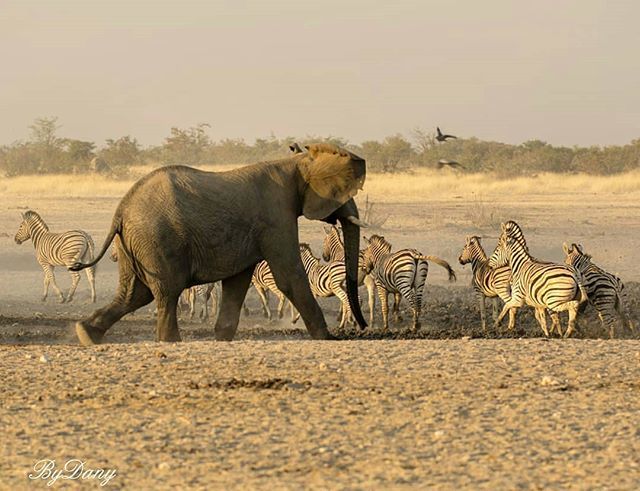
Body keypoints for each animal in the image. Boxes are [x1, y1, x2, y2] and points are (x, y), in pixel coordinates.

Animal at [69, 143, 368, 345]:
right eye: (343, 195)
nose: (361, 329)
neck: (294, 162)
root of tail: (120, 210)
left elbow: (237, 281)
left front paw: (222, 338)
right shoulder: (276, 216)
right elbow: (289, 276)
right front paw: (327, 338)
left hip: (135, 244)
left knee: (134, 294)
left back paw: (86, 335)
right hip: (156, 239)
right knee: (166, 291)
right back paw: (169, 342)